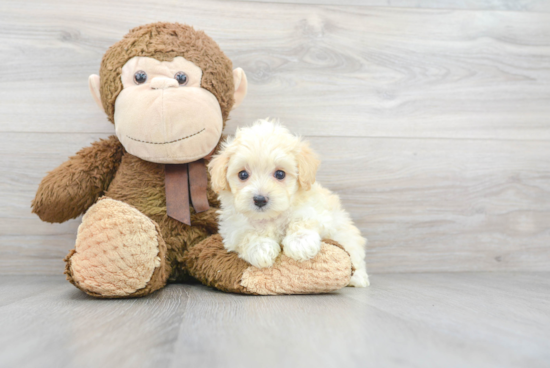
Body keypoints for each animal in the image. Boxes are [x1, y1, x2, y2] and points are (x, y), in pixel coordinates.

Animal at [210, 119, 370, 286]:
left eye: (280, 174)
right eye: (242, 175)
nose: (260, 199)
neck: (270, 218)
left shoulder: (317, 211)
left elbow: (303, 219)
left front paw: (301, 242)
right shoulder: (233, 229)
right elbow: (247, 235)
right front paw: (261, 248)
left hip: (346, 234)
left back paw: (358, 278)